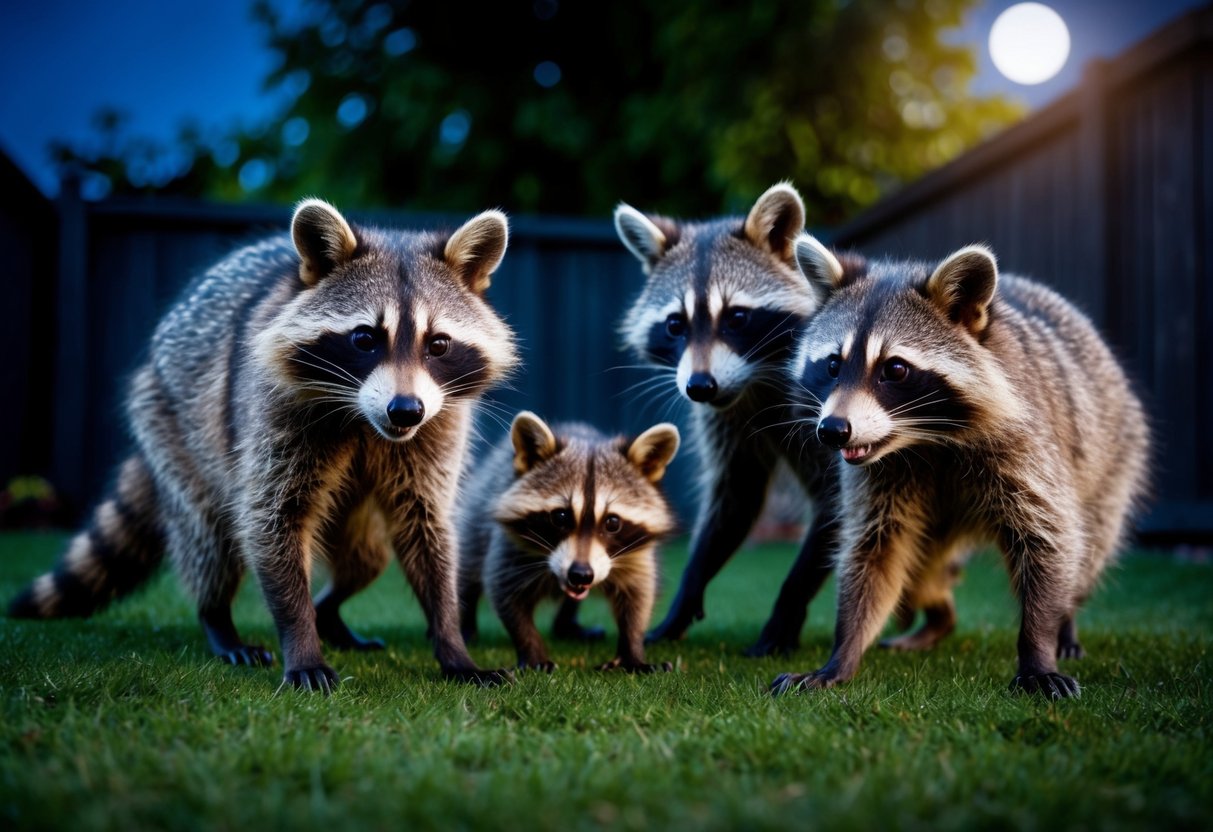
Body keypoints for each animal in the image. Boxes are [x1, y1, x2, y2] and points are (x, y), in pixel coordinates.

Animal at [10, 199, 520, 692]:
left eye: (439, 344)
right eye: (364, 338)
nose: (406, 410)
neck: (363, 420)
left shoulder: (439, 423)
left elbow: (427, 526)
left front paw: (452, 644)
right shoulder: (273, 410)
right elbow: (272, 519)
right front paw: (301, 640)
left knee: (366, 558)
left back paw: (328, 611)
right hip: (171, 426)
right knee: (209, 536)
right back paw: (218, 619)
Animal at [458, 412, 679, 672]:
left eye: (612, 522)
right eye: (561, 517)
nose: (581, 574)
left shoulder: (636, 555)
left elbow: (638, 594)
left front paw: (632, 650)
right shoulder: (510, 545)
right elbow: (506, 593)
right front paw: (532, 650)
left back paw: (566, 623)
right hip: (475, 514)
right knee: (467, 564)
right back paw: (465, 622)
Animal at [614, 183, 853, 656]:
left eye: (737, 318)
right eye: (675, 325)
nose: (700, 387)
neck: (755, 382)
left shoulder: (830, 410)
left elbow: (836, 502)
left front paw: (788, 605)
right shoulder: (726, 419)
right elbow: (736, 499)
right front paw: (685, 598)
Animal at [770, 240, 1150, 698]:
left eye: (895, 369)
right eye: (831, 365)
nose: (832, 430)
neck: (925, 438)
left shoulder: (1027, 446)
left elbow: (1050, 537)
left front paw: (1038, 648)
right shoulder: (879, 476)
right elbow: (874, 549)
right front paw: (842, 653)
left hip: (1115, 459)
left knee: (1087, 550)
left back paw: (1066, 622)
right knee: (917, 574)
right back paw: (938, 619)